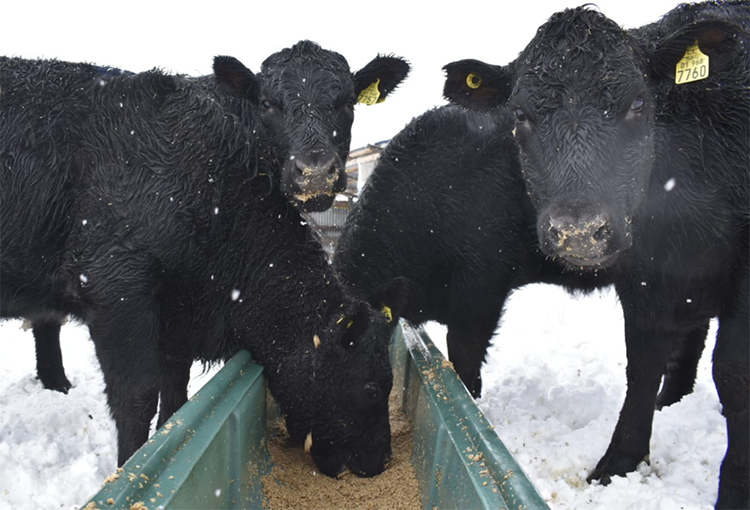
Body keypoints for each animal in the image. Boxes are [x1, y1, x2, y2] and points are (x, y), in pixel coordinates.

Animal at [1, 40, 412, 478]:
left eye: (347, 102)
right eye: (372, 388)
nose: (382, 460)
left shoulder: (176, 318)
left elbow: (176, 397)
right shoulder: (114, 284)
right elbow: (137, 398)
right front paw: (132, 469)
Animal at [444, 3, 748, 510]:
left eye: (638, 104)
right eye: (520, 114)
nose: (578, 232)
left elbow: (734, 370)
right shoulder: (646, 271)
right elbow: (642, 361)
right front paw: (620, 462)